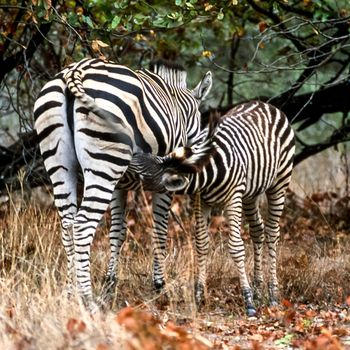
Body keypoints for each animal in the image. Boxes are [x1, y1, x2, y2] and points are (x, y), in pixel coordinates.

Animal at [34, 58, 212, 312]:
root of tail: (76, 70)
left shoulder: (119, 185)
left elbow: (117, 232)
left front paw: (110, 283)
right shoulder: (163, 183)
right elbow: (159, 231)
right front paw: (160, 286)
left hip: (60, 161)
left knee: (67, 224)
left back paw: (70, 293)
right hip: (103, 165)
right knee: (82, 225)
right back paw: (87, 300)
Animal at [131, 101, 296, 318]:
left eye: (142, 170)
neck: (207, 173)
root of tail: (265, 104)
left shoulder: (233, 197)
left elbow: (236, 246)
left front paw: (248, 301)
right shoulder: (201, 201)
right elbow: (201, 244)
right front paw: (199, 295)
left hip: (279, 182)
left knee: (272, 233)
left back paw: (272, 294)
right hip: (251, 192)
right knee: (257, 230)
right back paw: (258, 288)